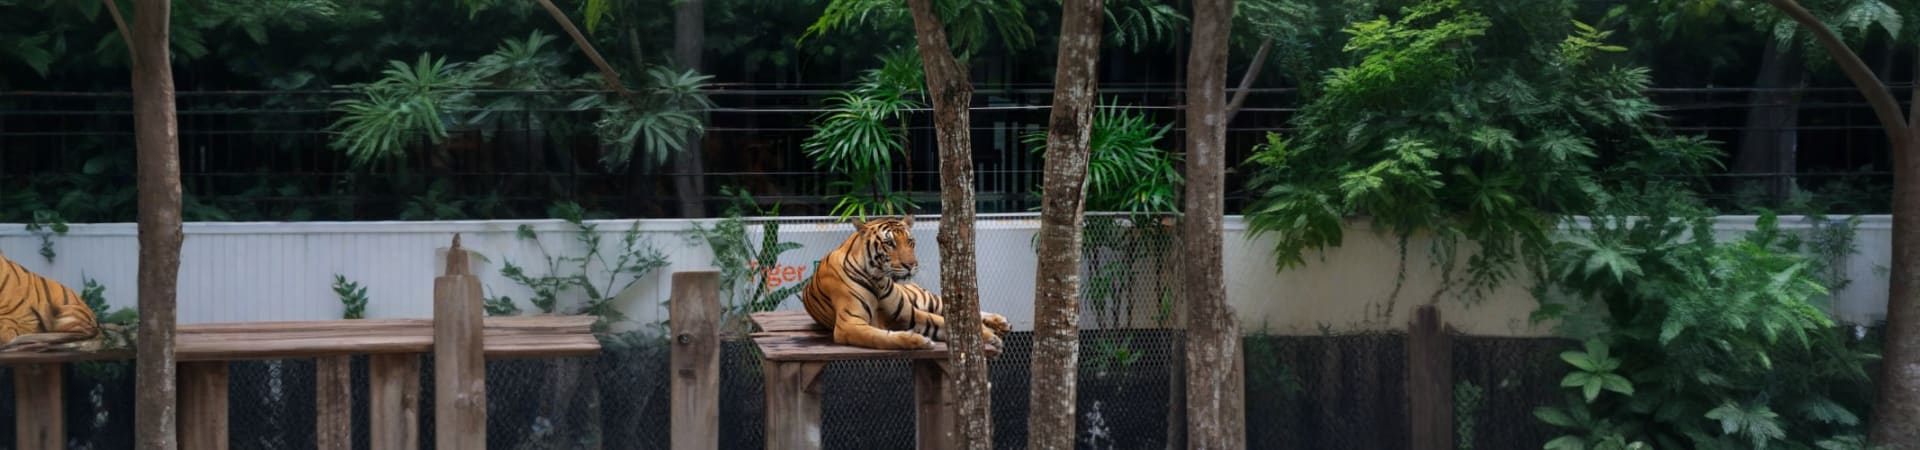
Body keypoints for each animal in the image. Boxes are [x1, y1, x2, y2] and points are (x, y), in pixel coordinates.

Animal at [798, 215, 1012, 351]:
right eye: (889, 243)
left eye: (910, 242)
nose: (911, 265)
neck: (878, 279)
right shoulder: (849, 324)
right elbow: (880, 337)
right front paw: (919, 341)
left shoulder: (910, 313)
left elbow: (942, 322)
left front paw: (989, 336)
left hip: (925, 299)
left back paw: (1000, 322)